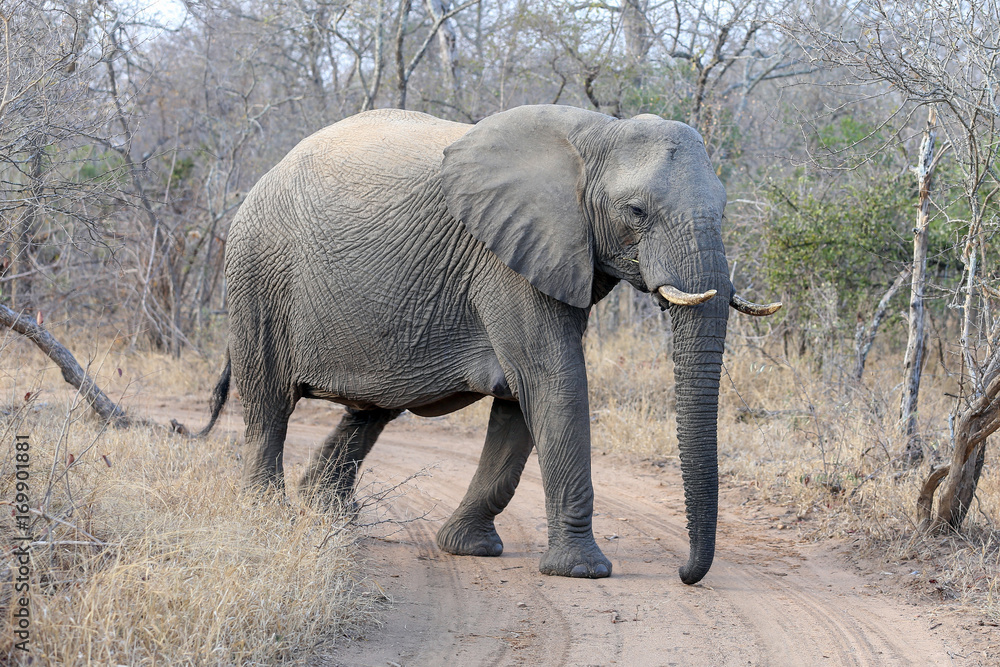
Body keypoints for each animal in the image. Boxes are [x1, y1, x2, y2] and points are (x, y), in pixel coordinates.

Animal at [198, 105, 780, 583]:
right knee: (269, 407)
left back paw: (329, 515)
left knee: (370, 410)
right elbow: (553, 380)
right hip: (257, 275)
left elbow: (521, 398)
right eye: (636, 211)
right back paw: (269, 516)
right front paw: (583, 572)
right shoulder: (505, 259)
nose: (685, 573)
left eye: (724, 211)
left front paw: (466, 548)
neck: (596, 135)